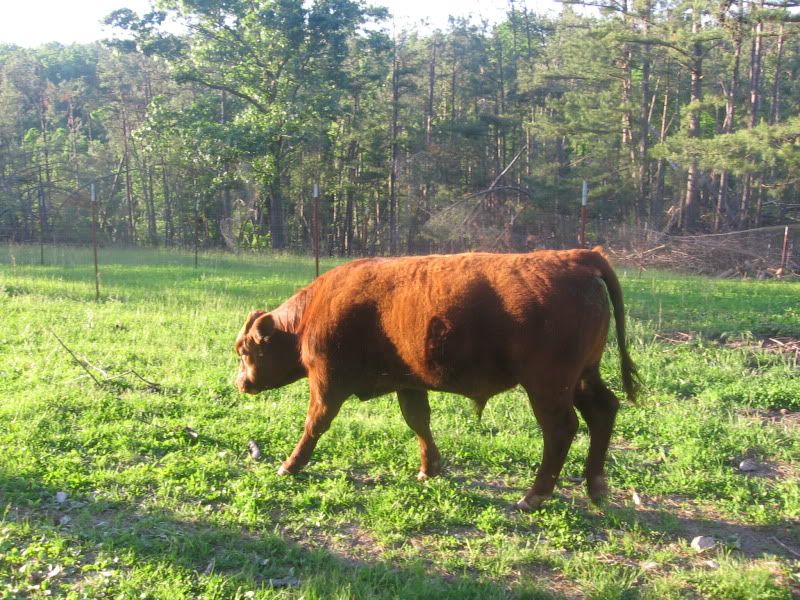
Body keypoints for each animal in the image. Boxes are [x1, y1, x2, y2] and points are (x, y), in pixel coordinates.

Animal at [235, 248, 639, 510]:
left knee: (560, 429)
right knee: (603, 411)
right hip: (582, 378)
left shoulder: (328, 383)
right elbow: (418, 422)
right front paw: (430, 469)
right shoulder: (408, 383)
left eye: (246, 351)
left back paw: (533, 496)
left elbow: (315, 424)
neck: (310, 316)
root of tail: (579, 256)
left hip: (548, 387)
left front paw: (289, 465)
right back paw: (596, 487)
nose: (241, 383)